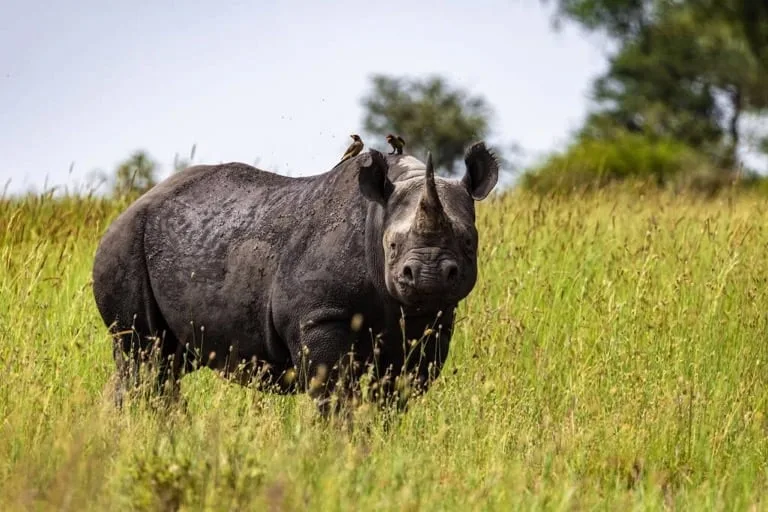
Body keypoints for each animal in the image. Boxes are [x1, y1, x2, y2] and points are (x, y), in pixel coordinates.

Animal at [92, 142, 498, 414]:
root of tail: (129, 207)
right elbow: (335, 395)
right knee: (144, 355)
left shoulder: (432, 321)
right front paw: (340, 450)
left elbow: (395, 394)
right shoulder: (320, 316)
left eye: (467, 241)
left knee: (162, 362)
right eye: (393, 245)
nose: (428, 275)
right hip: (124, 242)